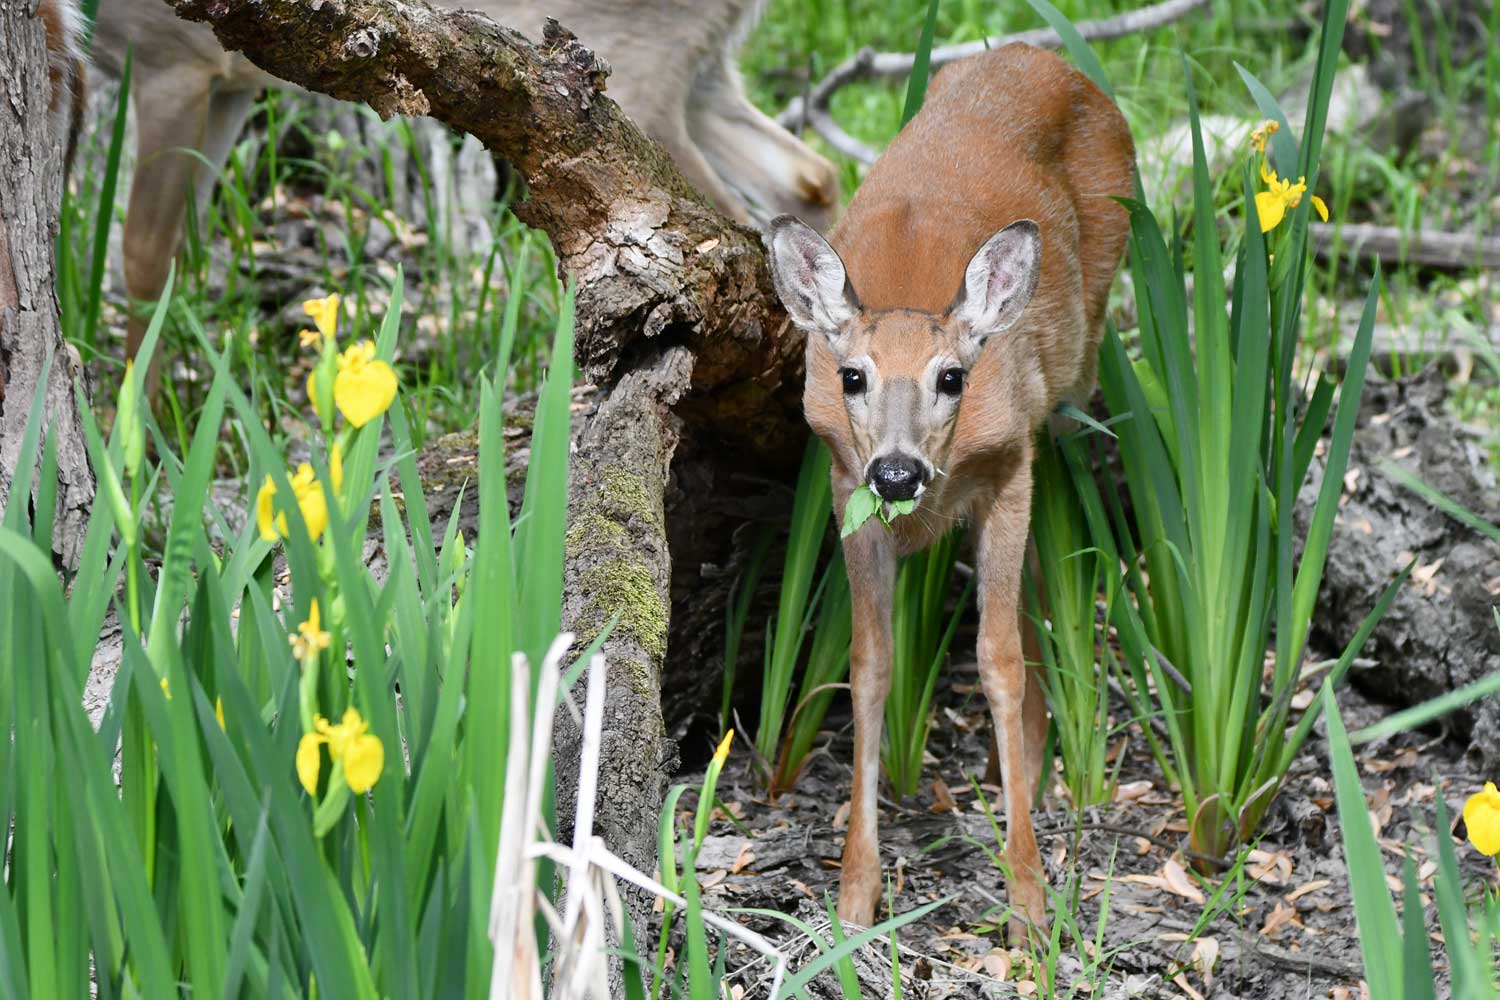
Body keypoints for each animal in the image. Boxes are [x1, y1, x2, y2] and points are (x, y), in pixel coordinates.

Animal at [90, 0, 846, 361]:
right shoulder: (229, 83)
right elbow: (175, 255)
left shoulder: (172, 63)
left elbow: (141, 260)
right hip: (703, 73)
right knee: (809, 179)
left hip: (643, 79)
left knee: (718, 238)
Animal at [768, 44, 1128, 941]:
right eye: (851, 376)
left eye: (953, 377)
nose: (897, 473)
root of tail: (1043, 55)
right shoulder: (844, 486)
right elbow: (869, 666)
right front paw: (855, 896)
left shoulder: (1008, 465)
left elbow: (996, 659)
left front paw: (1029, 900)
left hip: (1076, 376)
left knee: (1045, 577)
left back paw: (1032, 763)